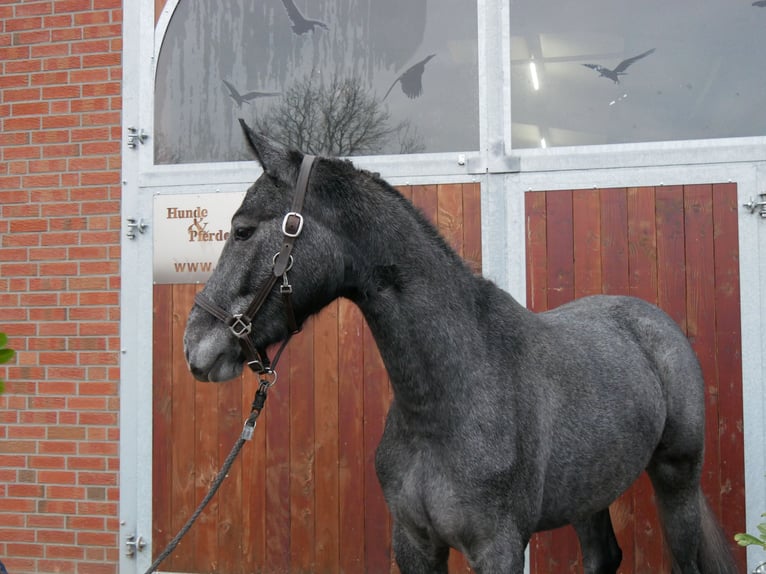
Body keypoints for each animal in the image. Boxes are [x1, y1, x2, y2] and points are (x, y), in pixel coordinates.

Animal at [184, 119, 736, 572]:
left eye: (241, 230)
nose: (194, 345)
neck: (447, 399)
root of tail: (654, 323)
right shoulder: (415, 545)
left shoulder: (498, 548)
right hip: (590, 491)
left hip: (677, 477)